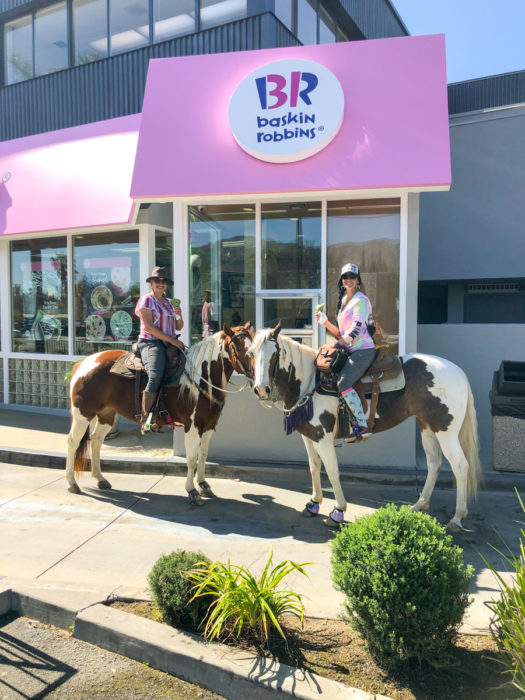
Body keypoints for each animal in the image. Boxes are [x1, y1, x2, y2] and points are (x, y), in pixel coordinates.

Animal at [66, 322, 255, 504]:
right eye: (238, 347)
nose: (254, 375)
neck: (201, 377)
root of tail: (82, 363)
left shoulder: (209, 425)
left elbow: (203, 454)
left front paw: (203, 485)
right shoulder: (192, 426)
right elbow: (191, 458)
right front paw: (192, 491)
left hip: (107, 415)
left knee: (96, 440)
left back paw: (100, 478)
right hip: (83, 414)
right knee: (73, 442)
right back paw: (72, 483)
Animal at [248, 324, 482, 532]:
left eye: (274, 354)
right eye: (251, 353)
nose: (261, 389)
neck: (310, 383)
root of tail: (458, 372)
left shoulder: (323, 439)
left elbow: (332, 471)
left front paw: (337, 511)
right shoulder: (309, 436)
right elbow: (314, 467)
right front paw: (314, 503)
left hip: (446, 432)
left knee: (460, 466)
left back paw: (456, 518)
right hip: (428, 428)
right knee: (434, 463)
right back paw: (418, 505)